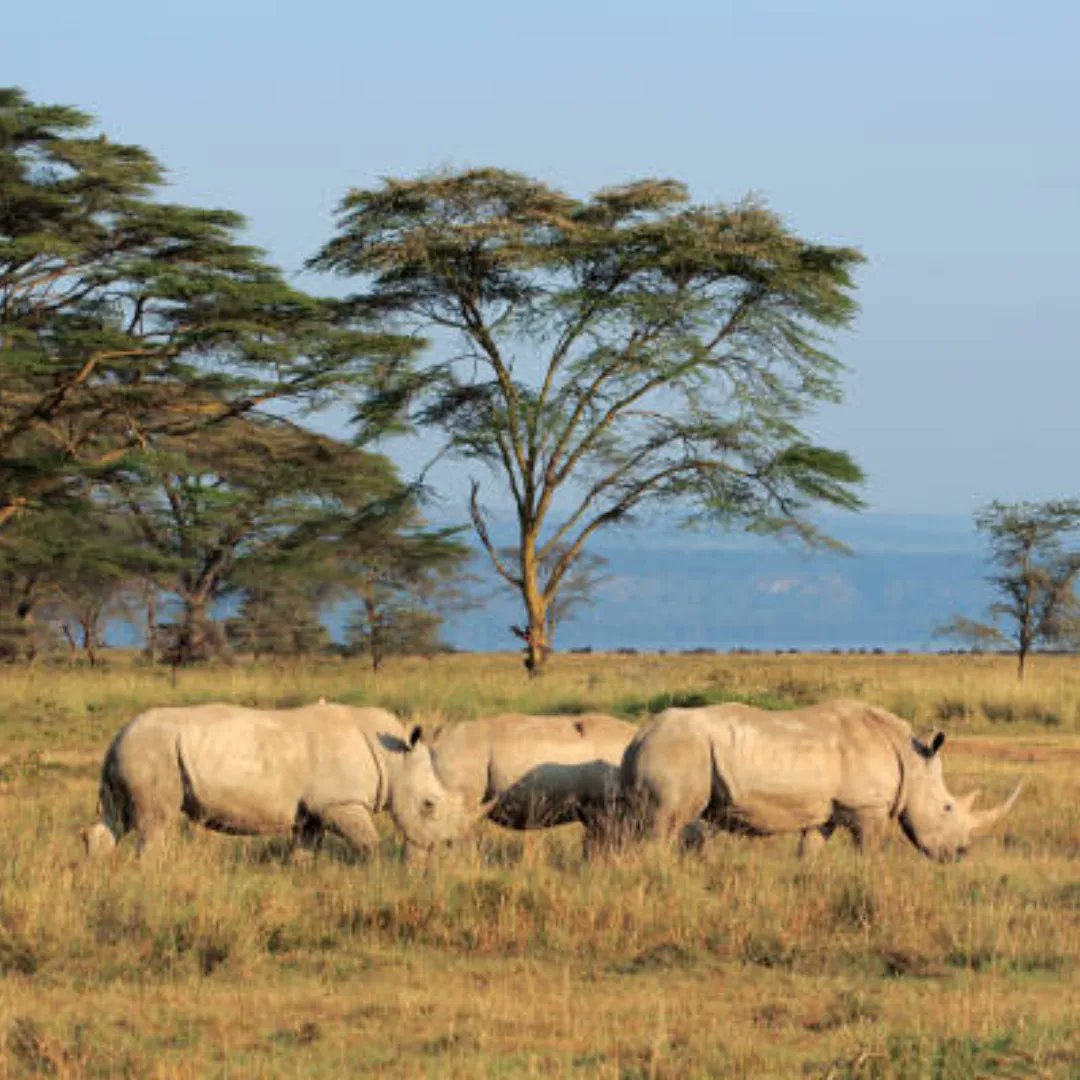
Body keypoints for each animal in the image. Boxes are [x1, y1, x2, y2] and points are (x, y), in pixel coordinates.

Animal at [83, 702, 471, 861]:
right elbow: (368, 844)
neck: (395, 759)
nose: (432, 851)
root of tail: (118, 735)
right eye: (429, 805)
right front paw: (376, 873)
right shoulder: (339, 803)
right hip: (154, 752)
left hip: (134, 751)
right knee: (154, 823)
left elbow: (303, 853)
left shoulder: (313, 811)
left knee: (115, 819)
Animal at [619, 700, 1022, 861]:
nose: (960, 854)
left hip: (663, 752)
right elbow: (869, 853)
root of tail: (639, 737)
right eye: (947, 808)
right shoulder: (868, 807)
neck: (912, 759)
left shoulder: (825, 814)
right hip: (678, 752)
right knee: (665, 825)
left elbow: (810, 852)